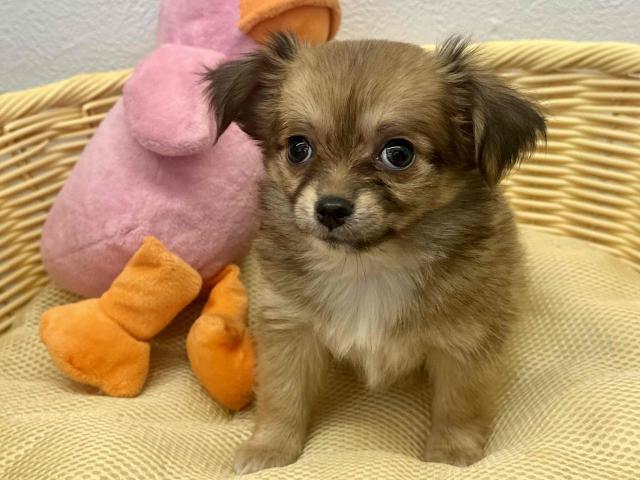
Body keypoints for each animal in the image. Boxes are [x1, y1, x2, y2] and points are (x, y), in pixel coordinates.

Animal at [204, 33, 545, 474]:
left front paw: (450, 454)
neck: (367, 265)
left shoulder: (466, 342)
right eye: (298, 148)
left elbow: (459, 406)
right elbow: (282, 395)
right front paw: (269, 449)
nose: (331, 208)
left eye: (398, 153)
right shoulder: (288, 328)